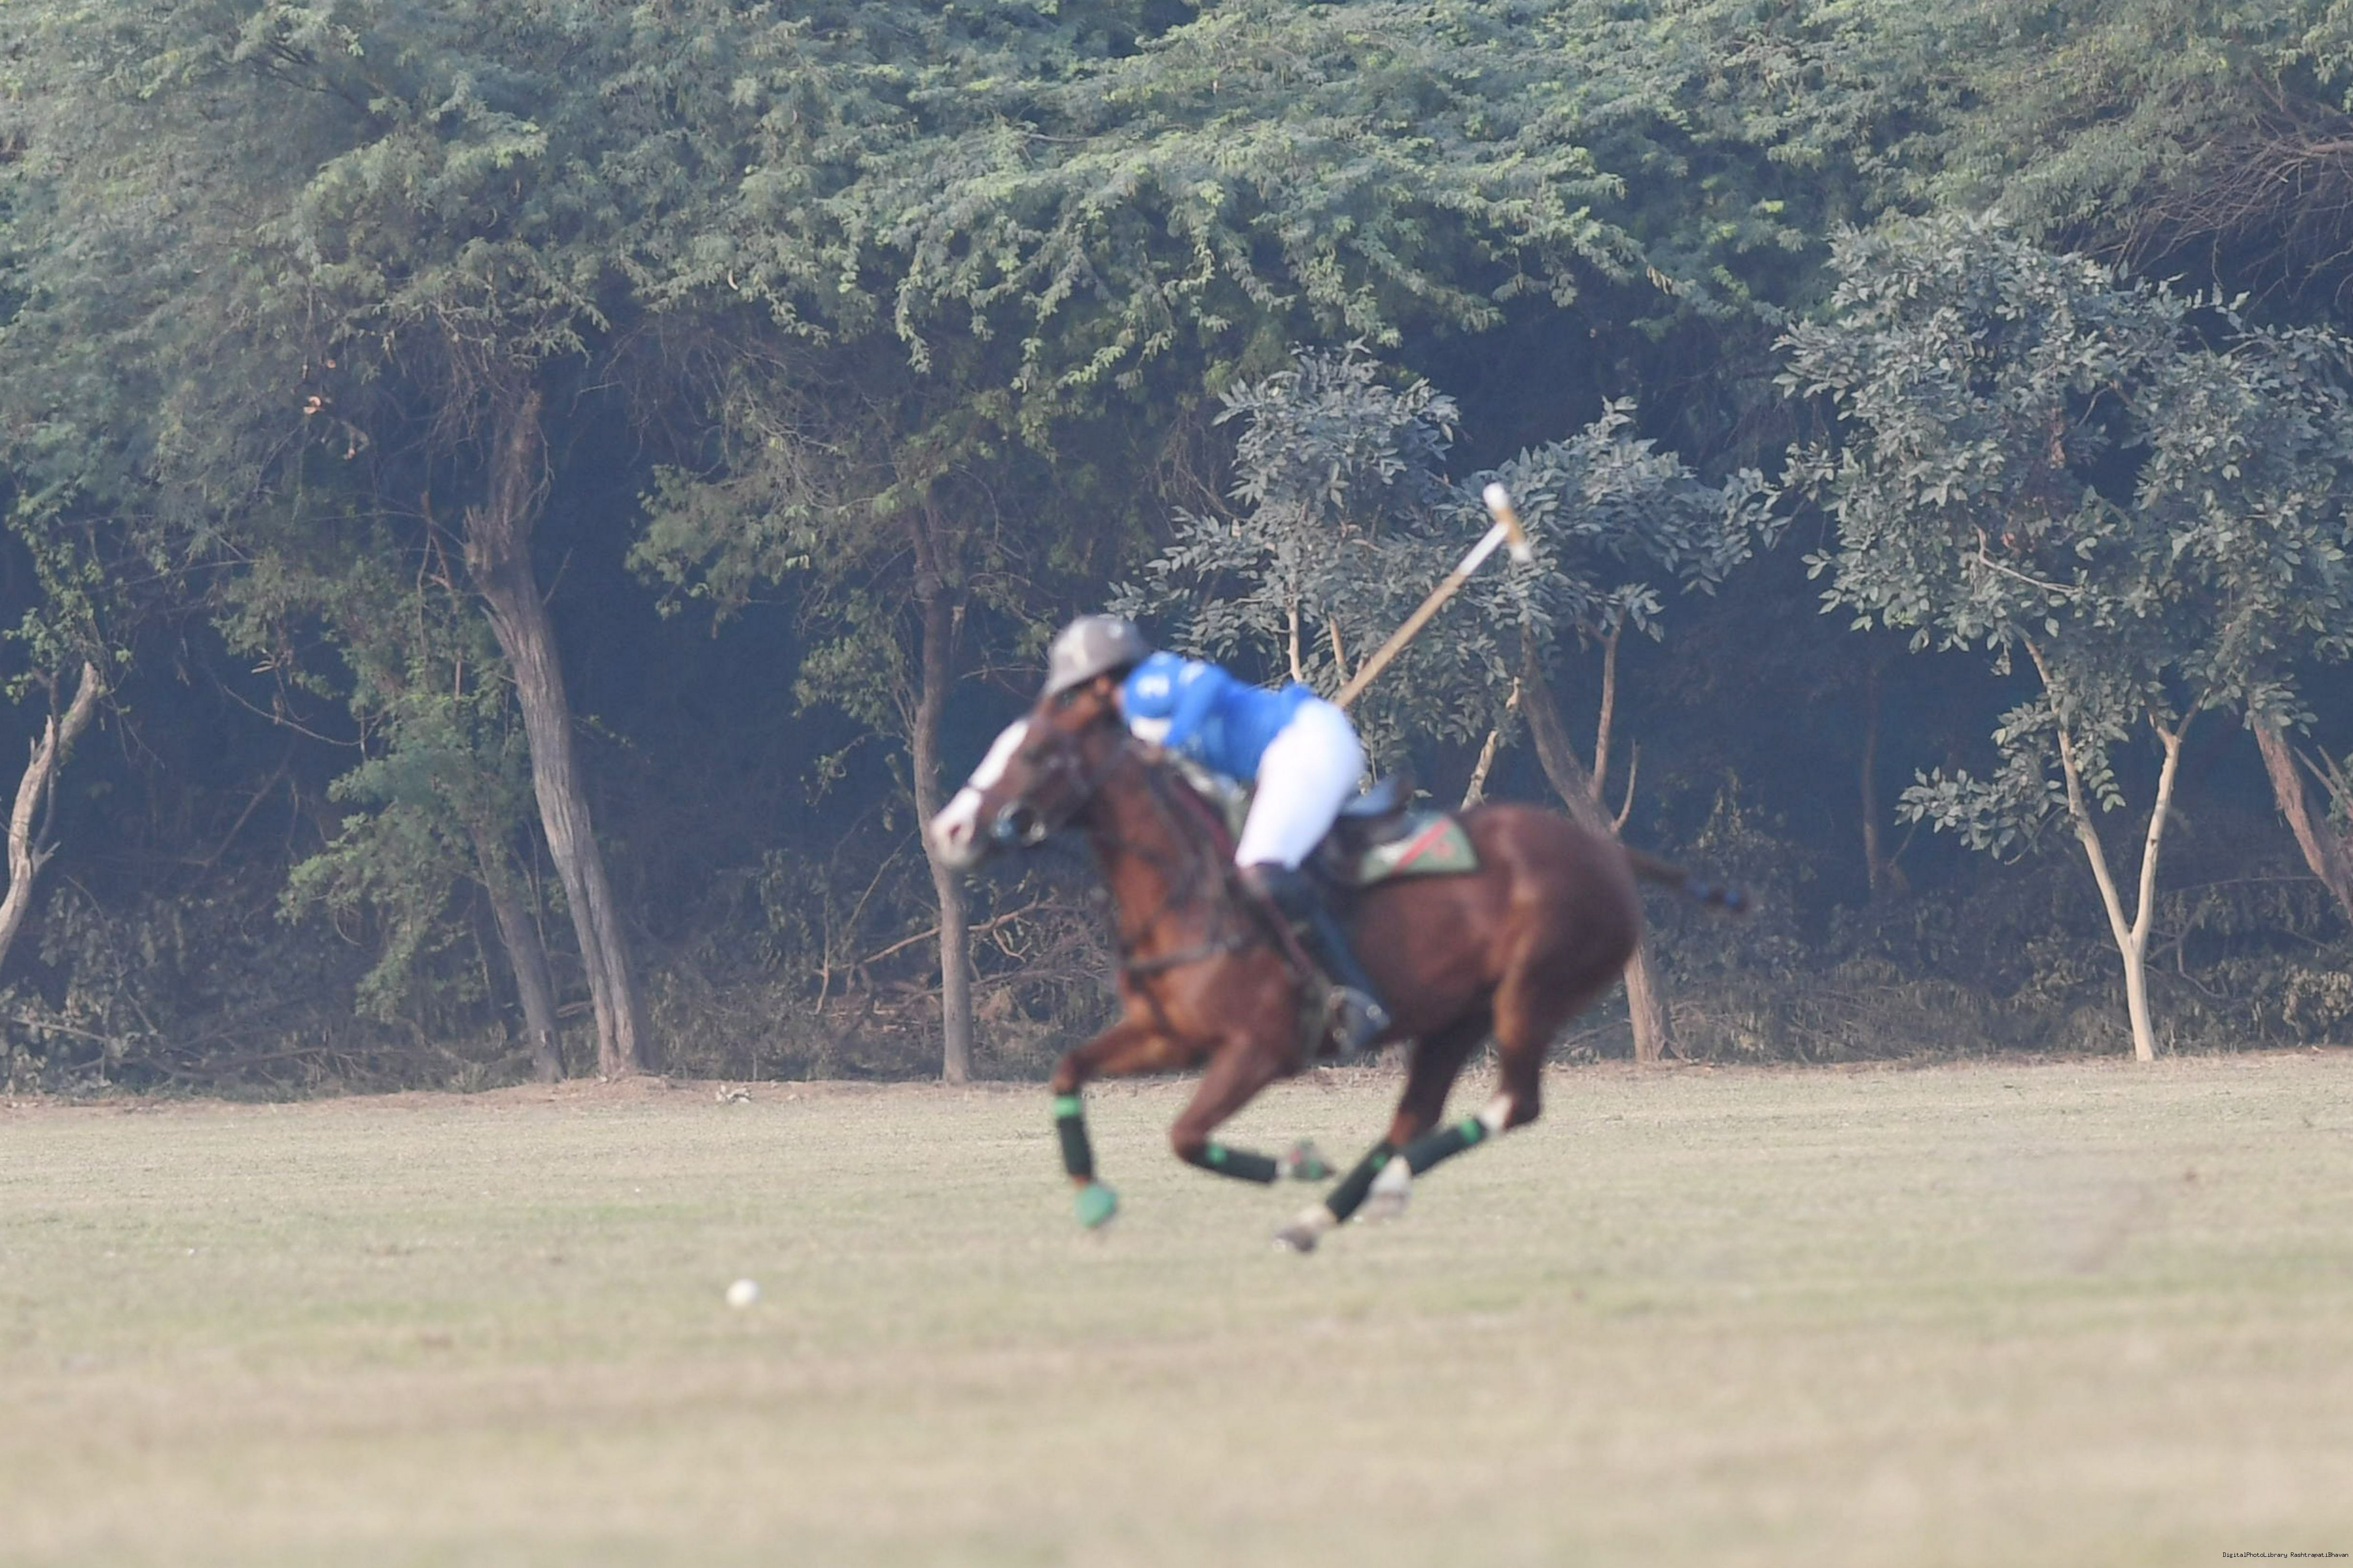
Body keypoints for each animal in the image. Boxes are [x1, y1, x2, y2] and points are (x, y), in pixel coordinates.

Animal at [928, 675, 1741, 1251]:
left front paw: (1299, 1162)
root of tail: (1606, 852)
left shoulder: (1258, 1049)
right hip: (1455, 1016)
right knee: (1415, 1116)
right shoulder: (1170, 1035)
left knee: (1514, 1103)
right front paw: (1094, 1200)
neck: (1189, 890)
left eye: (1035, 754)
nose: (951, 829)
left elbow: (1185, 1136)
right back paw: (1327, 1214)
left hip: (1530, 992)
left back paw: (1366, 1196)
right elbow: (1070, 1070)